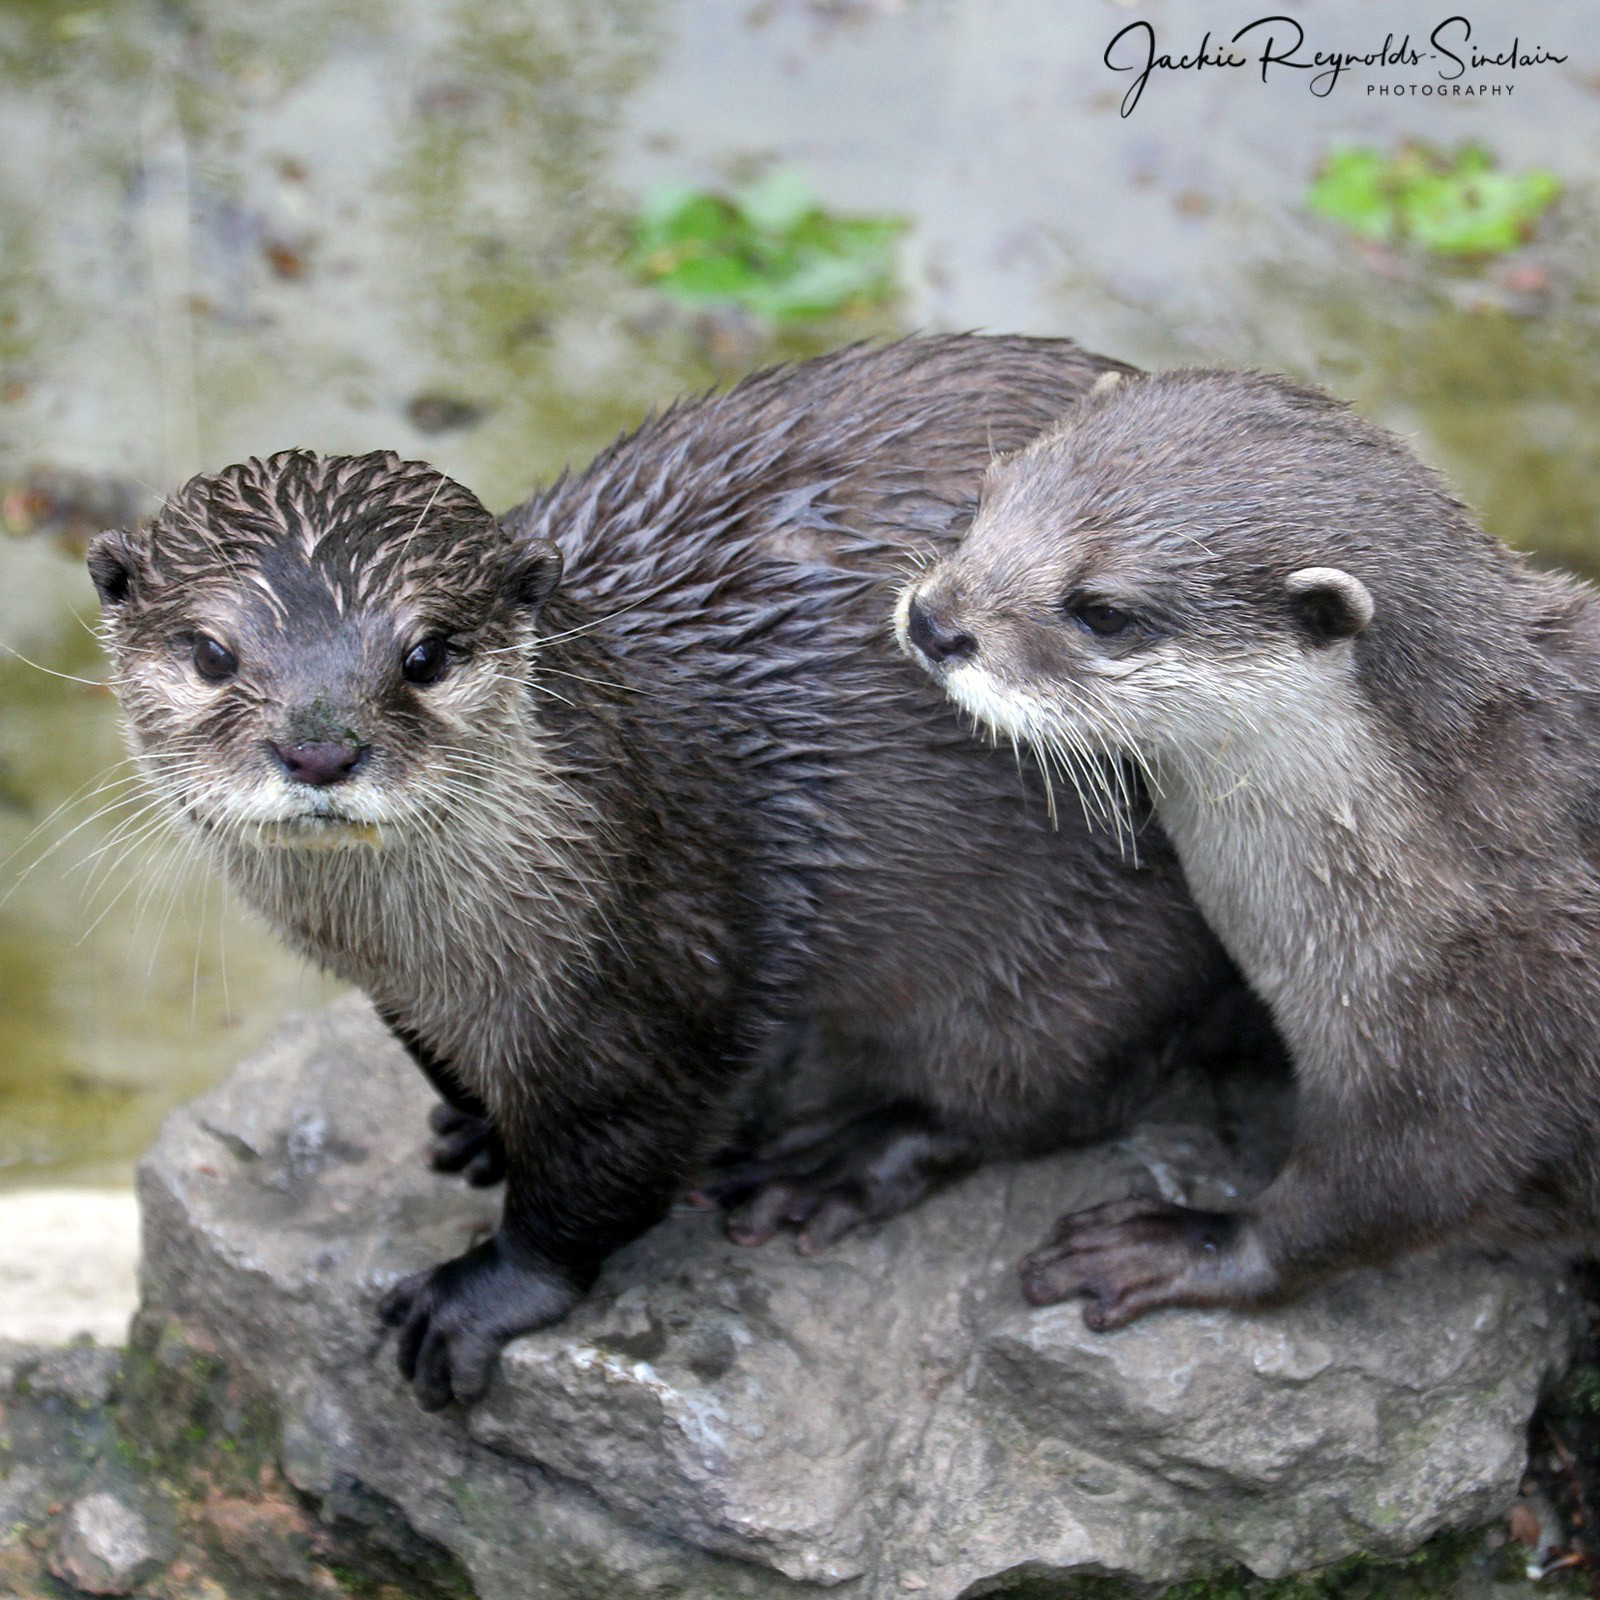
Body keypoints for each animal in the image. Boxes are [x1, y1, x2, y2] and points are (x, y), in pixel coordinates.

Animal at [89, 337, 1239, 1408]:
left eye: (427, 655)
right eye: (211, 653)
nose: (320, 748)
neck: (440, 953)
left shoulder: (664, 959)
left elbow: (606, 1172)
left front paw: (482, 1291)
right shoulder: (406, 996)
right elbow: (460, 1078)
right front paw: (477, 1128)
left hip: (1093, 951)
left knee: (1033, 1092)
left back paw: (826, 1168)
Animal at [898, 365, 1600, 1329]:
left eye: (1103, 612)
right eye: (982, 499)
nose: (934, 621)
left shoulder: (1504, 1032)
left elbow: (1389, 1196)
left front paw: (1175, 1241)